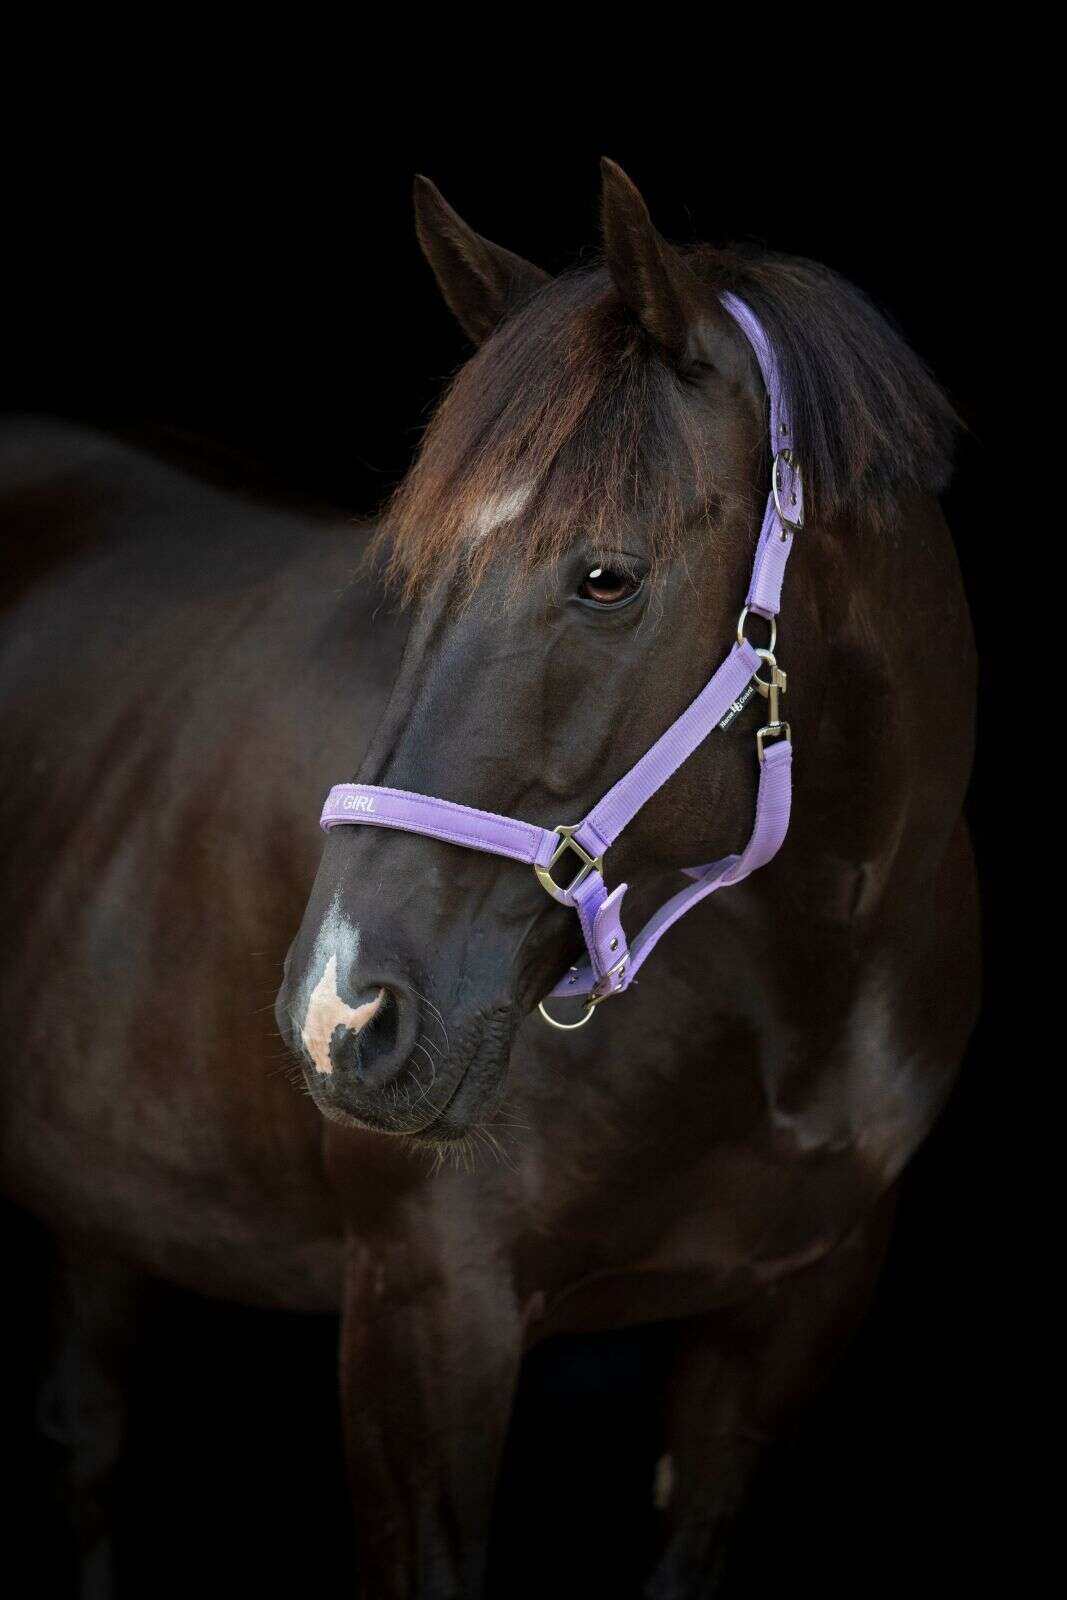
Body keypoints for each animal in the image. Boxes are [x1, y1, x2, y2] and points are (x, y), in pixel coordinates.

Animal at [0, 160, 978, 1598]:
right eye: (412, 578)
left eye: (606, 578)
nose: (339, 1013)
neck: (798, 992)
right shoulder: (425, 1309)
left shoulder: (793, 1311)